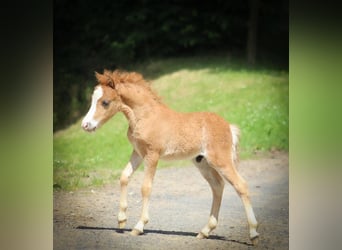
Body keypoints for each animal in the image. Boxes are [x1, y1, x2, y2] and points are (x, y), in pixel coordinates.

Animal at [81, 69, 260, 245]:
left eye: (105, 102)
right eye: (92, 100)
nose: (85, 125)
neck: (145, 116)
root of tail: (228, 126)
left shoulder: (152, 155)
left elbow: (146, 187)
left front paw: (139, 226)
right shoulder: (138, 152)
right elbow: (124, 177)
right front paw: (121, 220)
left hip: (220, 160)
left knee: (241, 185)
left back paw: (253, 234)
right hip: (202, 163)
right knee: (217, 186)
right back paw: (205, 231)